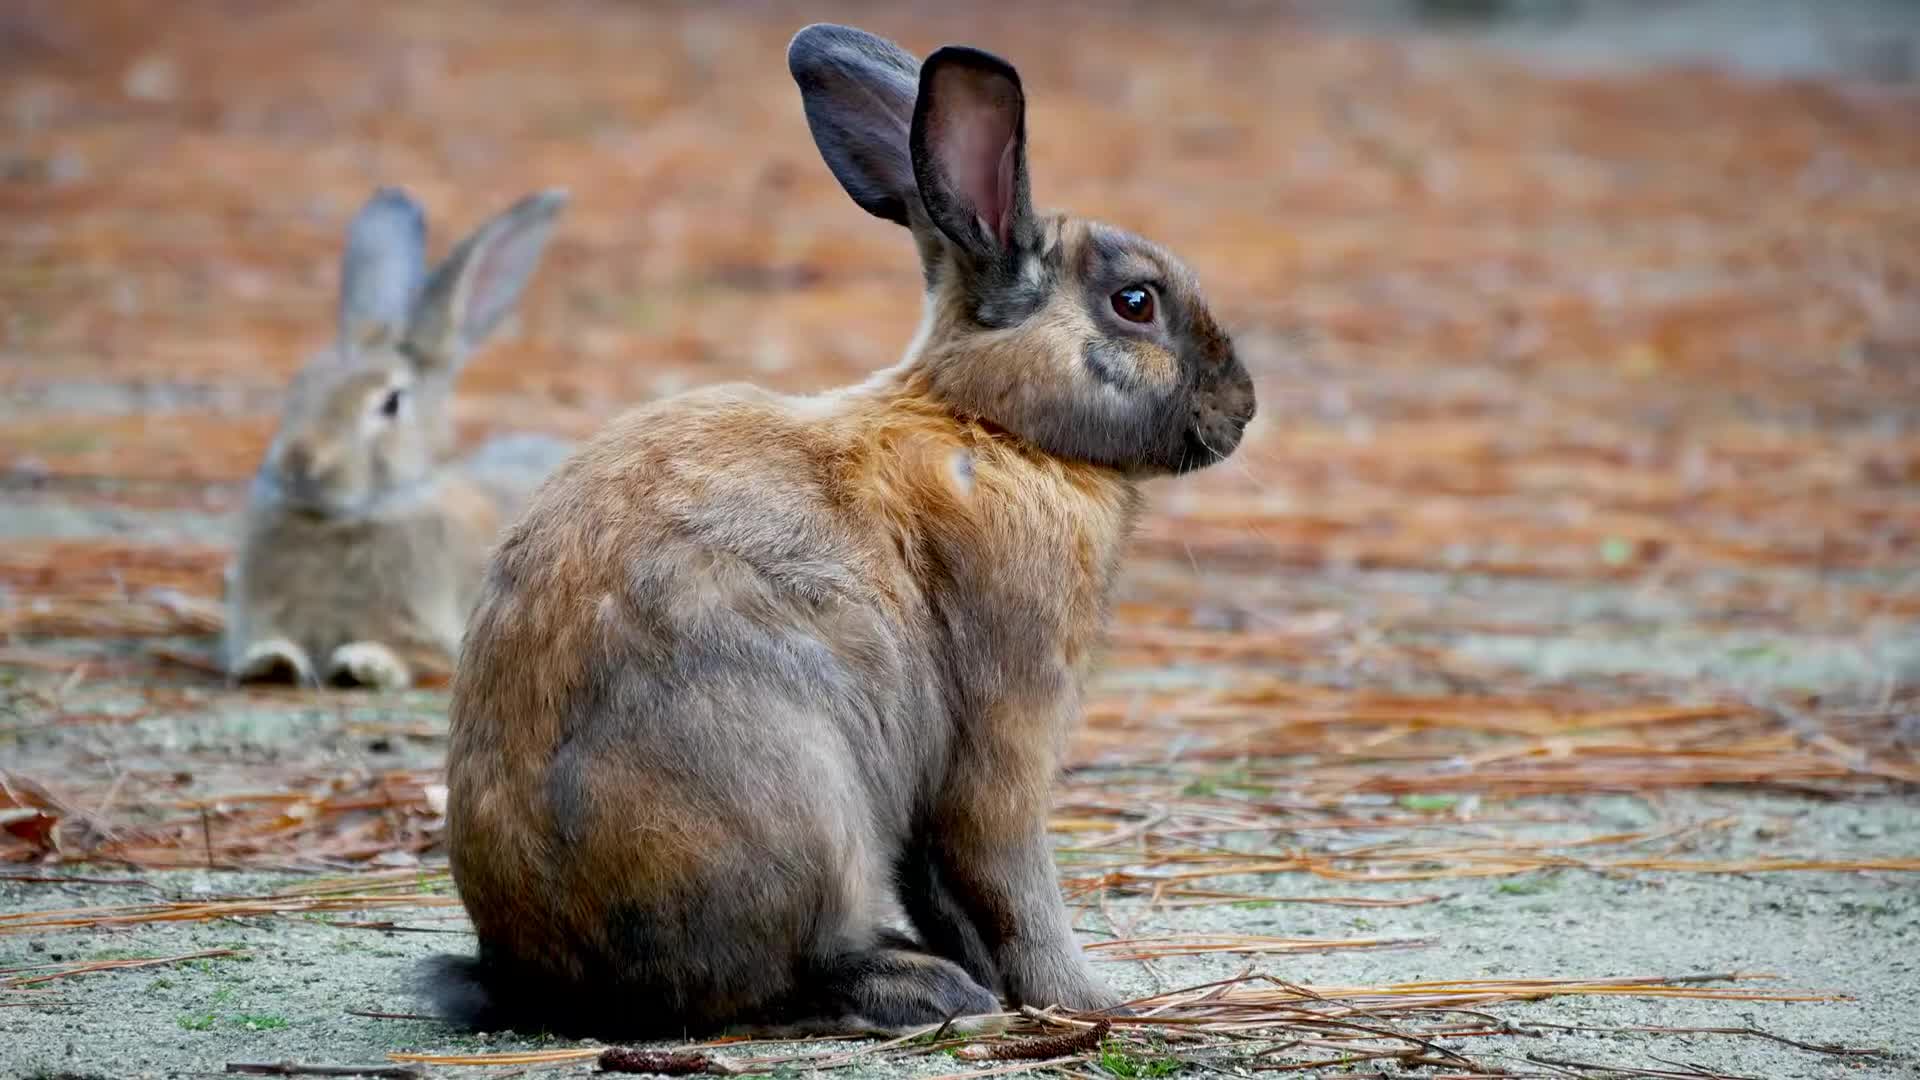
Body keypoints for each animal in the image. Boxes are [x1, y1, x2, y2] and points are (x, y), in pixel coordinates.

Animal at [223, 187, 571, 691]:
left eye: (390, 403)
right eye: (300, 384)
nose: (299, 462)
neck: (348, 519)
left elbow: (407, 656)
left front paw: (365, 664)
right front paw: (270, 661)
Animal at [426, 23, 1256, 1039]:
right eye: (1136, 302)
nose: (1243, 408)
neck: (991, 426)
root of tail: (542, 975)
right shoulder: (1000, 742)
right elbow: (1008, 881)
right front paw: (1090, 1002)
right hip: (798, 794)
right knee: (780, 974)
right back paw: (923, 989)